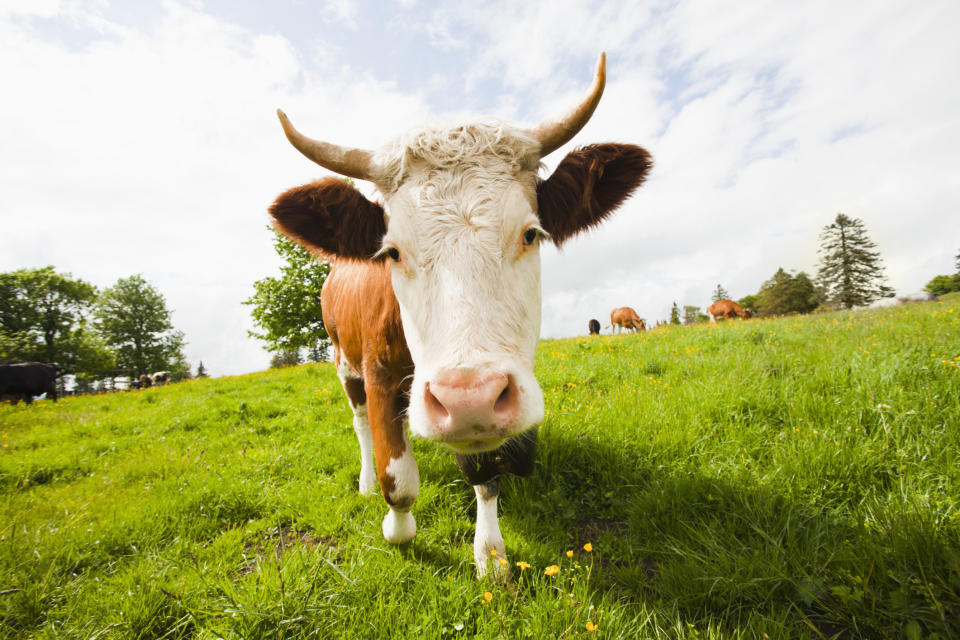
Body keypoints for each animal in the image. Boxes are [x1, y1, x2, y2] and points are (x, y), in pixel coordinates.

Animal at [268, 53, 652, 576]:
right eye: (392, 252)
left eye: (531, 233)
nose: (468, 400)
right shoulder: (378, 373)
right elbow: (398, 480)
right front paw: (397, 529)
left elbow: (485, 474)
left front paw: (490, 555)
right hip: (342, 360)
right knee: (362, 423)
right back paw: (365, 480)